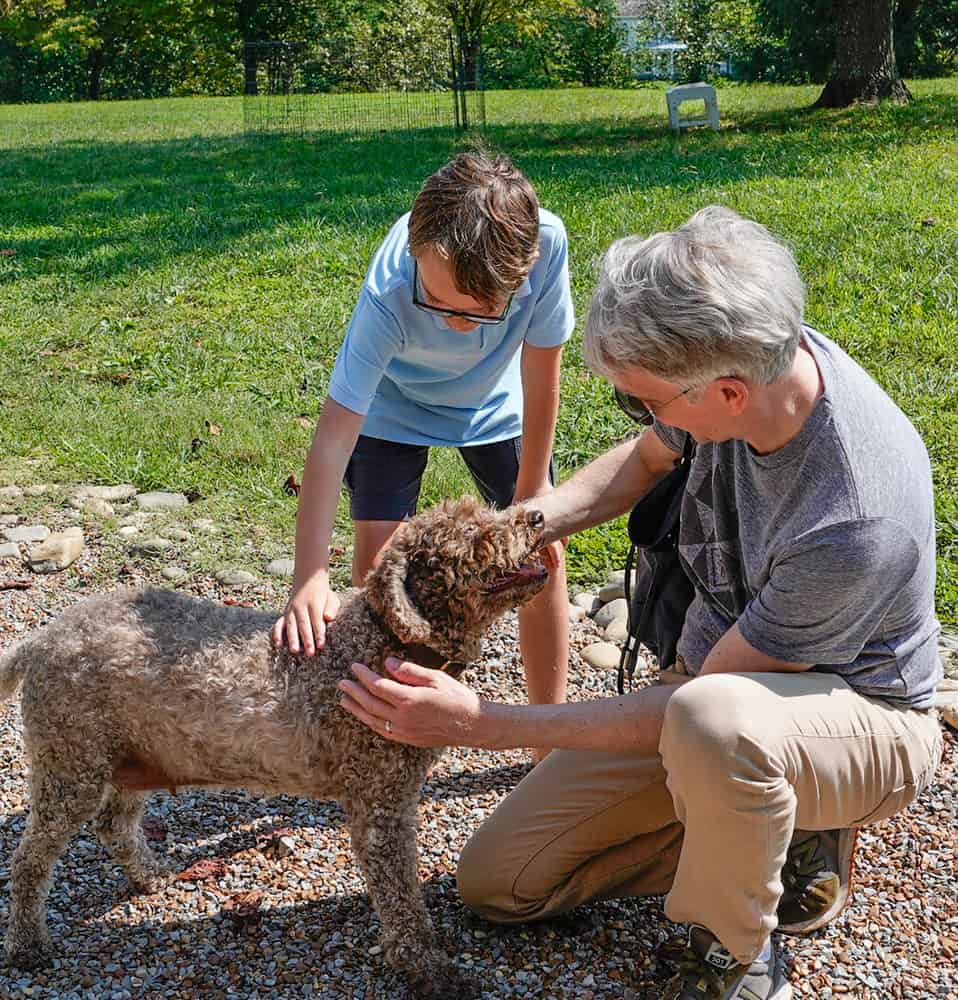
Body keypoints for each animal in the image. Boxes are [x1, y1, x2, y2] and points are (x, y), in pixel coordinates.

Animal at [0, 496, 548, 996]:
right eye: (473, 533)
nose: (538, 516)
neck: (377, 643)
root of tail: (39, 642)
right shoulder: (381, 805)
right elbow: (401, 899)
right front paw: (428, 969)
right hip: (71, 765)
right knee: (30, 860)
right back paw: (27, 942)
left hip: (132, 753)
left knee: (114, 826)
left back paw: (152, 874)